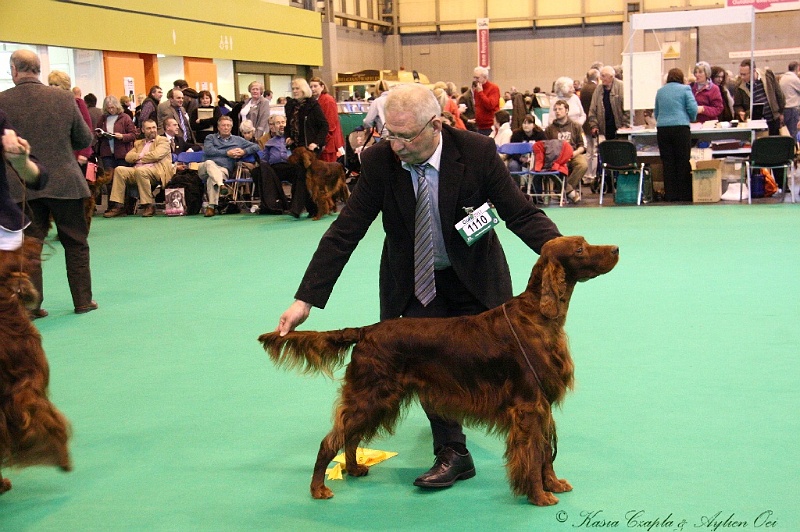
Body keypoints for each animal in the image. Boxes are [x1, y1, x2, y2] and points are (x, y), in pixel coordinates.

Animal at [260, 235, 620, 504]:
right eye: (579, 248)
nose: (616, 249)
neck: (538, 316)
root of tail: (366, 331)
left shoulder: (542, 406)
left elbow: (545, 452)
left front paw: (553, 484)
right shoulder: (528, 406)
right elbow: (532, 454)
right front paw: (539, 495)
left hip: (379, 397)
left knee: (351, 436)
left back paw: (354, 468)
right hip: (370, 394)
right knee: (332, 440)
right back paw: (318, 488)